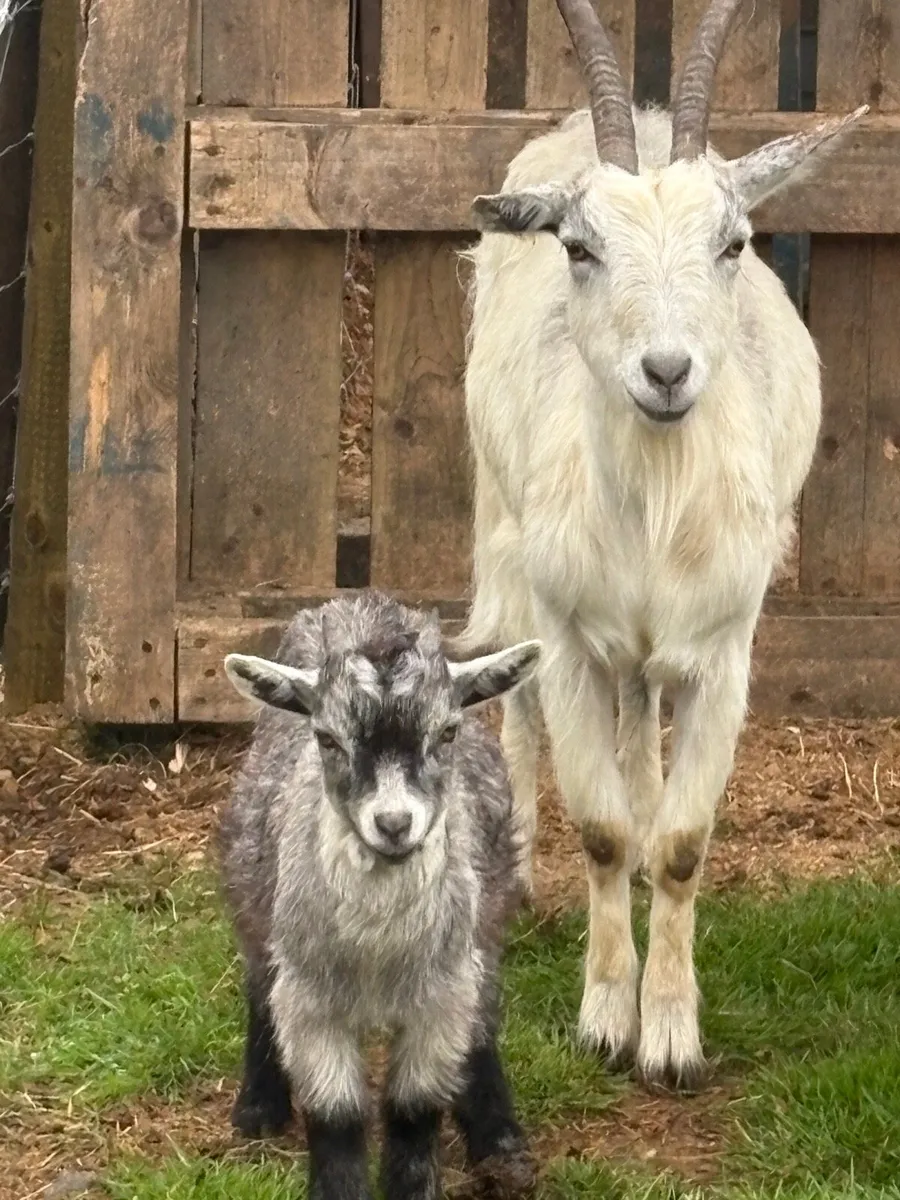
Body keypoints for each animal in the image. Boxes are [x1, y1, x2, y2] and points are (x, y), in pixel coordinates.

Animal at [219, 592, 540, 1200]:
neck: (377, 952)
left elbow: (413, 1111)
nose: (394, 824)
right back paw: (259, 1105)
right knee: (259, 986)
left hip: (488, 915)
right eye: (326, 738)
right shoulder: (311, 1002)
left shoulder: (441, 999)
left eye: (448, 732)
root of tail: (360, 601)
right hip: (252, 894)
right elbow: (337, 1117)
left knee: (484, 1016)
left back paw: (498, 1135)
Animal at [459, 0, 865, 1091]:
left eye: (734, 241)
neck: (652, 516)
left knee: (643, 731)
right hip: (503, 532)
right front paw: (607, 1018)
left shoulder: (724, 648)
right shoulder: (566, 628)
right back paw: (516, 868)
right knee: (514, 694)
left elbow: (680, 840)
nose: (668, 372)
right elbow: (600, 827)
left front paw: (672, 1033)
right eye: (578, 246)